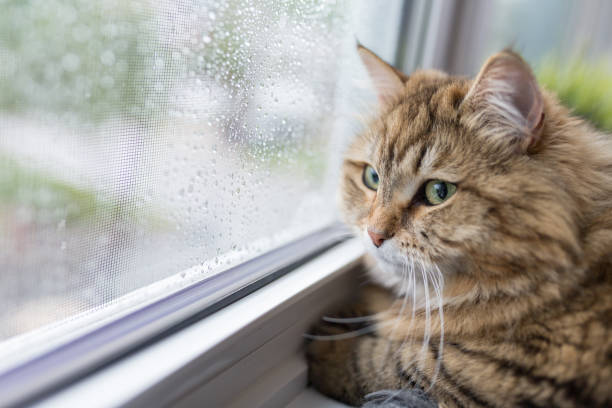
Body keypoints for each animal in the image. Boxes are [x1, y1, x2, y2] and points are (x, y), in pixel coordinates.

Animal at [306, 45, 612, 408]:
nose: (374, 235)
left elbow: (397, 362)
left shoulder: (505, 374)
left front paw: (330, 343)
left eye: (439, 192)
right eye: (372, 178)